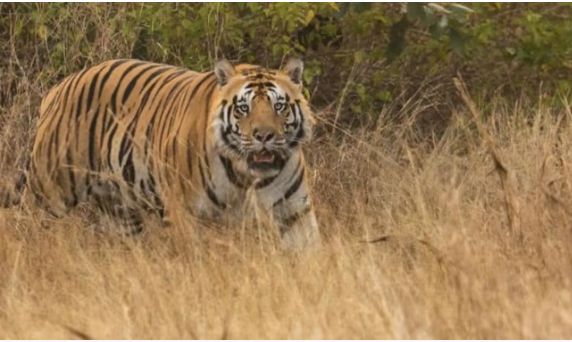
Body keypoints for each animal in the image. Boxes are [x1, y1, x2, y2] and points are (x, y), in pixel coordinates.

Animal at [0, 58, 320, 250]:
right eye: (244, 108)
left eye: (279, 106)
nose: (264, 136)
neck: (245, 175)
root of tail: (58, 88)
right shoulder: (184, 213)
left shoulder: (294, 211)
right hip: (51, 190)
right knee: (30, 225)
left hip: (119, 210)